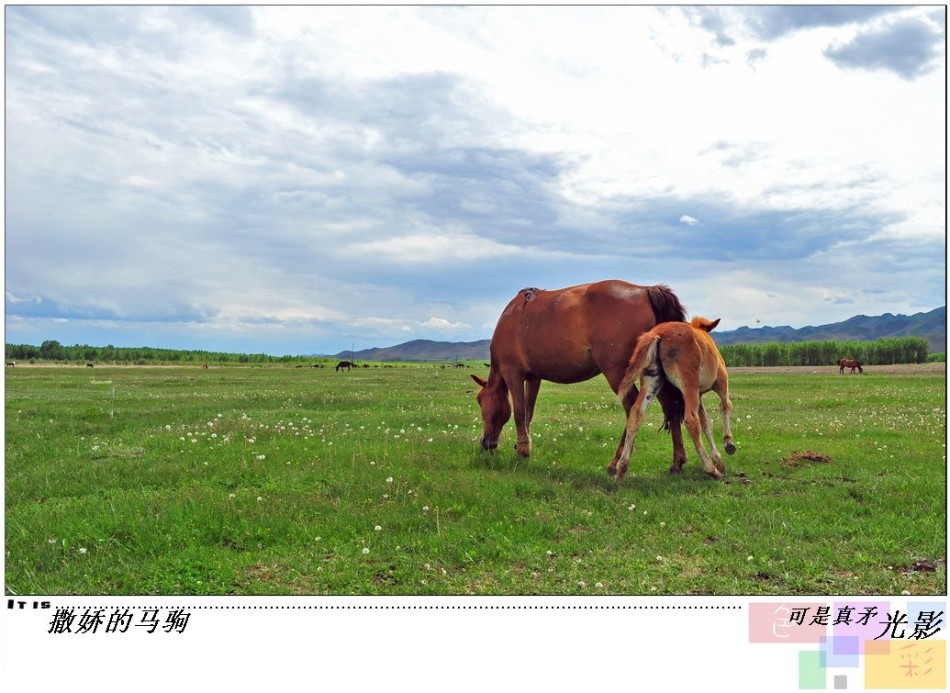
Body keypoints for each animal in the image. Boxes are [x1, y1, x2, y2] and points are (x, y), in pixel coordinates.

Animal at [470, 280, 689, 475]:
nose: (485, 442)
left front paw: (521, 452)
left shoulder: (513, 373)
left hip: (618, 374)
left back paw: (615, 462)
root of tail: (645, 290)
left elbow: (518, 413)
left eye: (481, 401)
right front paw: (525, 447)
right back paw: (676, 462)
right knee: (671, 407)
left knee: (632, 410)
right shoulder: (533, 378)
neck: (512, 316)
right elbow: (528, 413)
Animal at [613, 317, 736, 481]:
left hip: (652, 381)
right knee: (691, 420)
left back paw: (621, 469)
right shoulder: (721, 382)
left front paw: (719, 460)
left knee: (635, 413)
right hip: (688, 385)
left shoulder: (698, 394)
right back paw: (711, 469)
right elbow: (725, 406)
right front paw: (728, 445)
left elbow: (706, 423)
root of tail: (658, 333)